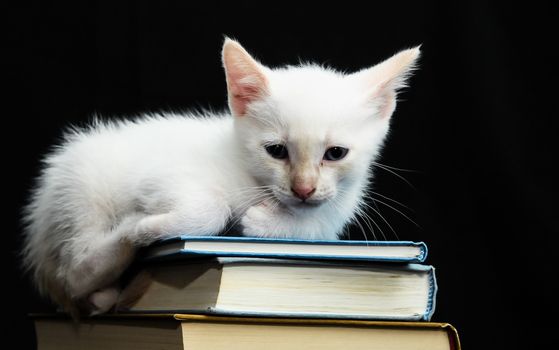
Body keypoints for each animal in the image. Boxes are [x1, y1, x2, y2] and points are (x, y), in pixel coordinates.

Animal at [24, 38, 422, 314]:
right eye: (277, 151)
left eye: (335, 154)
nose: (303, 189)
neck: (252, 177)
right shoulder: (159, 174)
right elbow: (210, 208)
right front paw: (150, 226)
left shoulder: (330, 214)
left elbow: (313, 225)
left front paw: (267, 222)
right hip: (82, 195)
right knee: (75, 271)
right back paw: (127, 237)